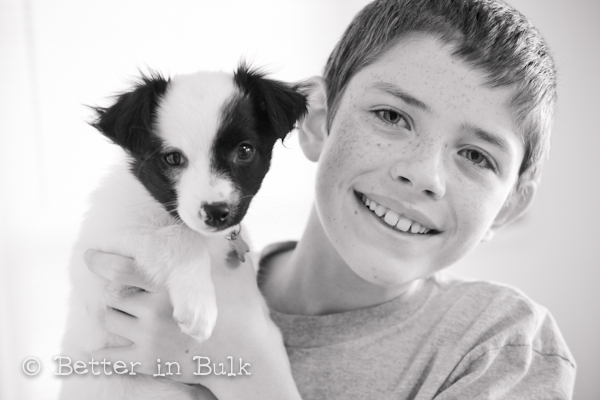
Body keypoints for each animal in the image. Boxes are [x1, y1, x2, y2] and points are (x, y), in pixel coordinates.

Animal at [59, 64, 310, 398]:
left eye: (244, 150)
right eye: (173, 158)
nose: (216, 213)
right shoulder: (102, 255)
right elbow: (181, 238)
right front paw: (198, 306)